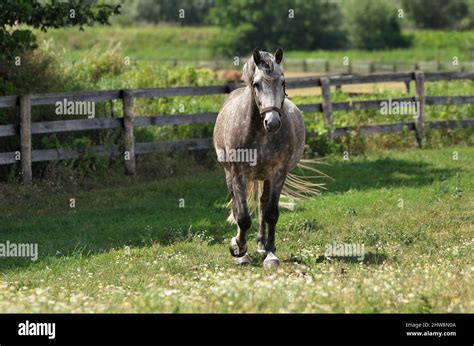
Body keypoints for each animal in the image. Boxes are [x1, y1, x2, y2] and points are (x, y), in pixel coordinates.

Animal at [213, 48, 306, 270]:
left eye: (283, 82)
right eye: (257, 84)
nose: (272, 123)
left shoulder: (278, 172)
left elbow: (271, 213)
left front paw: (270, 254)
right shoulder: (238, 173)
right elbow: (242, 216)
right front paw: (239, 250)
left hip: (266, 176)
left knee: (263, 204)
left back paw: (262, 244)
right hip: (230, 174)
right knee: (236, 205)